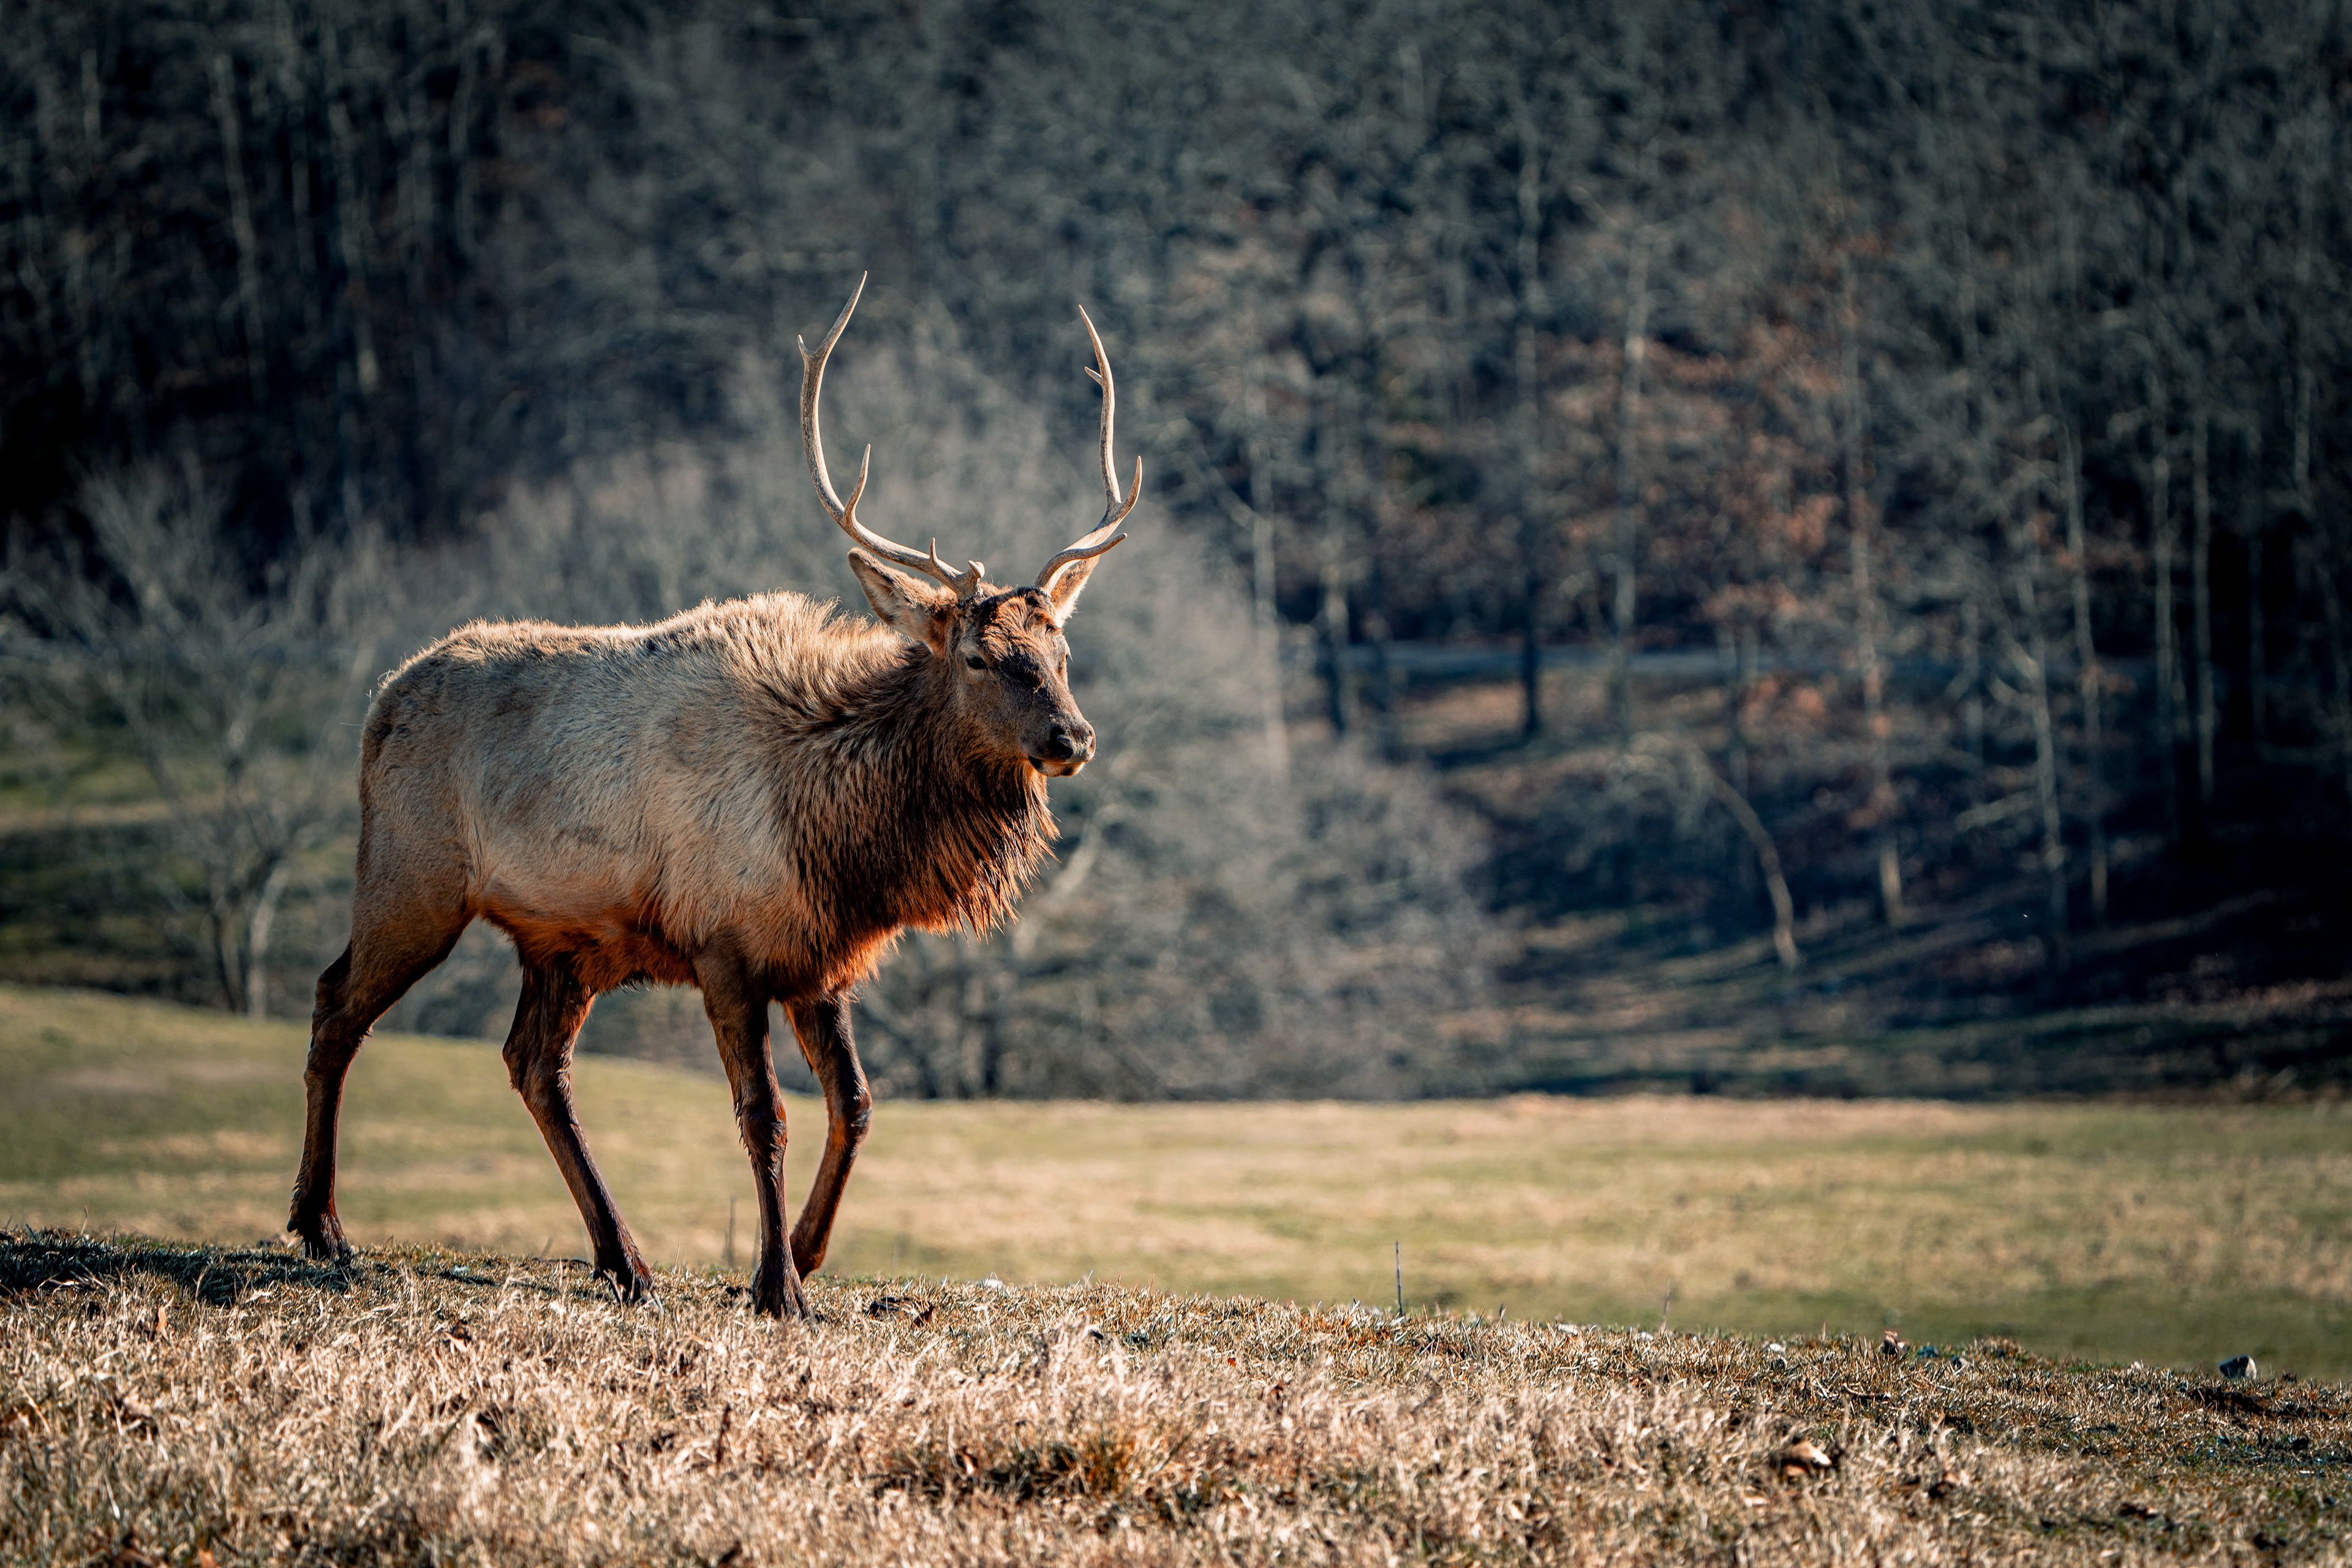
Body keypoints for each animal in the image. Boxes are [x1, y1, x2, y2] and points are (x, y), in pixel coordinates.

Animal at [287, 276, 1140, 1317]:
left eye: (1061, 649)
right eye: (979, 656)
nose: (1072, 739)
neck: (837, 837)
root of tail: (379, 701)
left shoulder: (819, 960)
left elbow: (857, 1105)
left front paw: (806, 1254)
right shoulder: (724, 946)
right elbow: (761, 1115)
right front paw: (777, 1286)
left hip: (563, 940)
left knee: (535, 1064)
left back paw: (624, 1260)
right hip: (413, 879)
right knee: (337, 1005)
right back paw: (321, 1226)